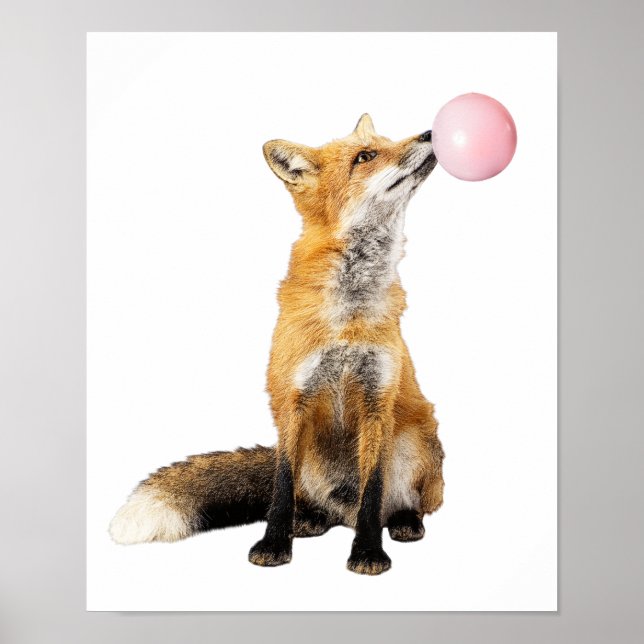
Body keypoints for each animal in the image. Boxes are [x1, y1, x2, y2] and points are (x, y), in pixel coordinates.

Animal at [109, 114, 445, 575]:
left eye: (385, 141)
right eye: (366, 156)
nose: (431, 132)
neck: (347, 318)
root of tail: (340, 510)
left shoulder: (378, 398)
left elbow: (373, 490)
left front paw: (367, 552)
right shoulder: (292, 398)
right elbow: (281, 487)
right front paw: (273, 545)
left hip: (417, 445)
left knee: (395, 503)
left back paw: (403, 521)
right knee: (312, 501)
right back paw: (311, 519)